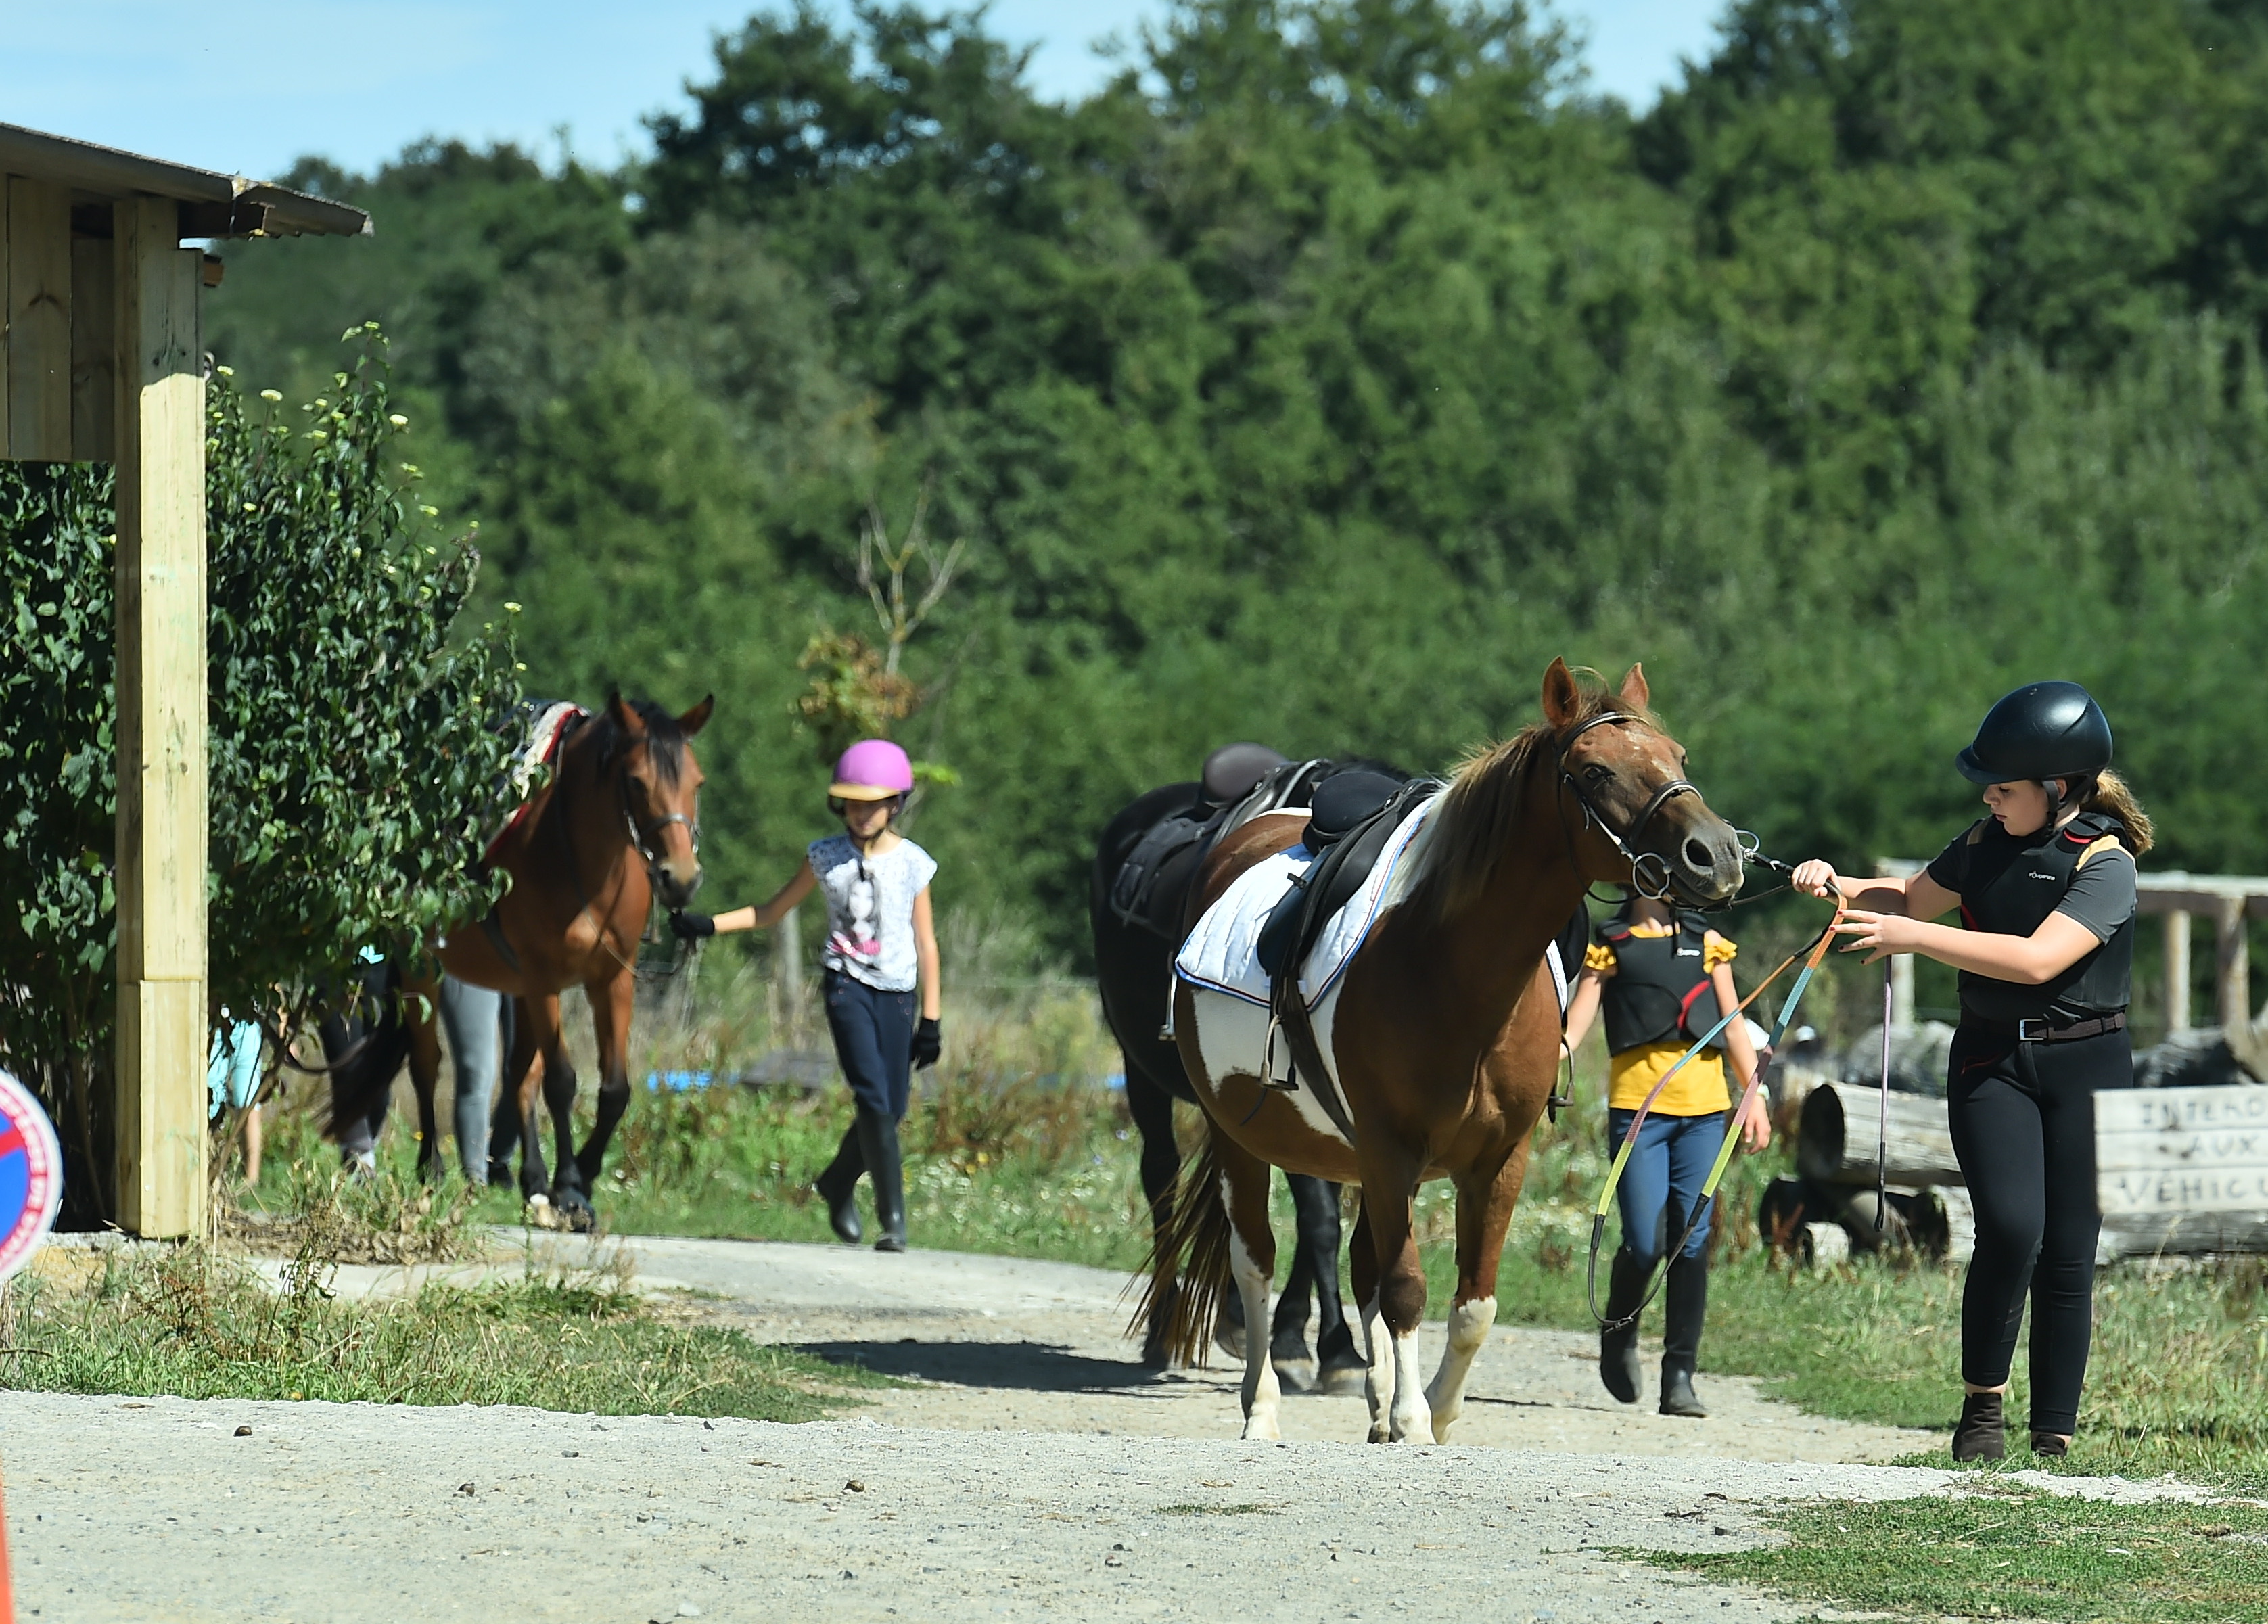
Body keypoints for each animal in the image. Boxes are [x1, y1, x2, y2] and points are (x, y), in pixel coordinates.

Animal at [327, 692, 710, 1228]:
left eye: (696, 782)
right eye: (636, 780)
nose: (682, 878)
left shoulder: (610, 980)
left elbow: (614, 1089)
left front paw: (580, 1178)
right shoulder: (544, 979)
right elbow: (562, 1082)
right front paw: (570, 1188)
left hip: (516, 989)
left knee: (518, 1074)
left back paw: (532, 1180)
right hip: (423, 968)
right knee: (429, 1065)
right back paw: (434, 1168)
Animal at [1093, 757, 1406, 1389]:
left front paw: (1297, 1338)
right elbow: (1318, 1221)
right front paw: (1331, 1348)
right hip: (1140, 1072)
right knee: (1162, 1179)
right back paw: (1165, 1327)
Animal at [1151, 660, 1744, 1443]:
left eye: (1677, 757)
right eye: (1593, 770)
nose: (1718, 853)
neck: (1452, 969)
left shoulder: (1497, 1161)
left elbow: (1471, 1306)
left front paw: (1428, 1411)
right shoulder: (1390, 1149)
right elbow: (1406, 1287)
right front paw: (1409, 1416)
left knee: (1360, 1267)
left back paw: (1372, 1402)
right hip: (1241, 1142)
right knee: (1256, 1263)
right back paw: (1265, 1409)